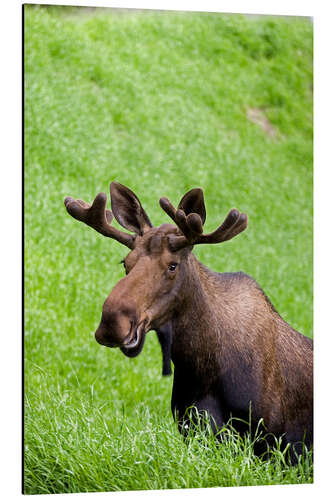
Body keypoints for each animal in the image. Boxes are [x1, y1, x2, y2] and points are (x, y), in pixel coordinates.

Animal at [64, 180, 312, 460]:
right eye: (125, 263)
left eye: (172, 266)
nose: (111, 324)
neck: (200, 365)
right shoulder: (194, 430)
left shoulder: (275, 444)